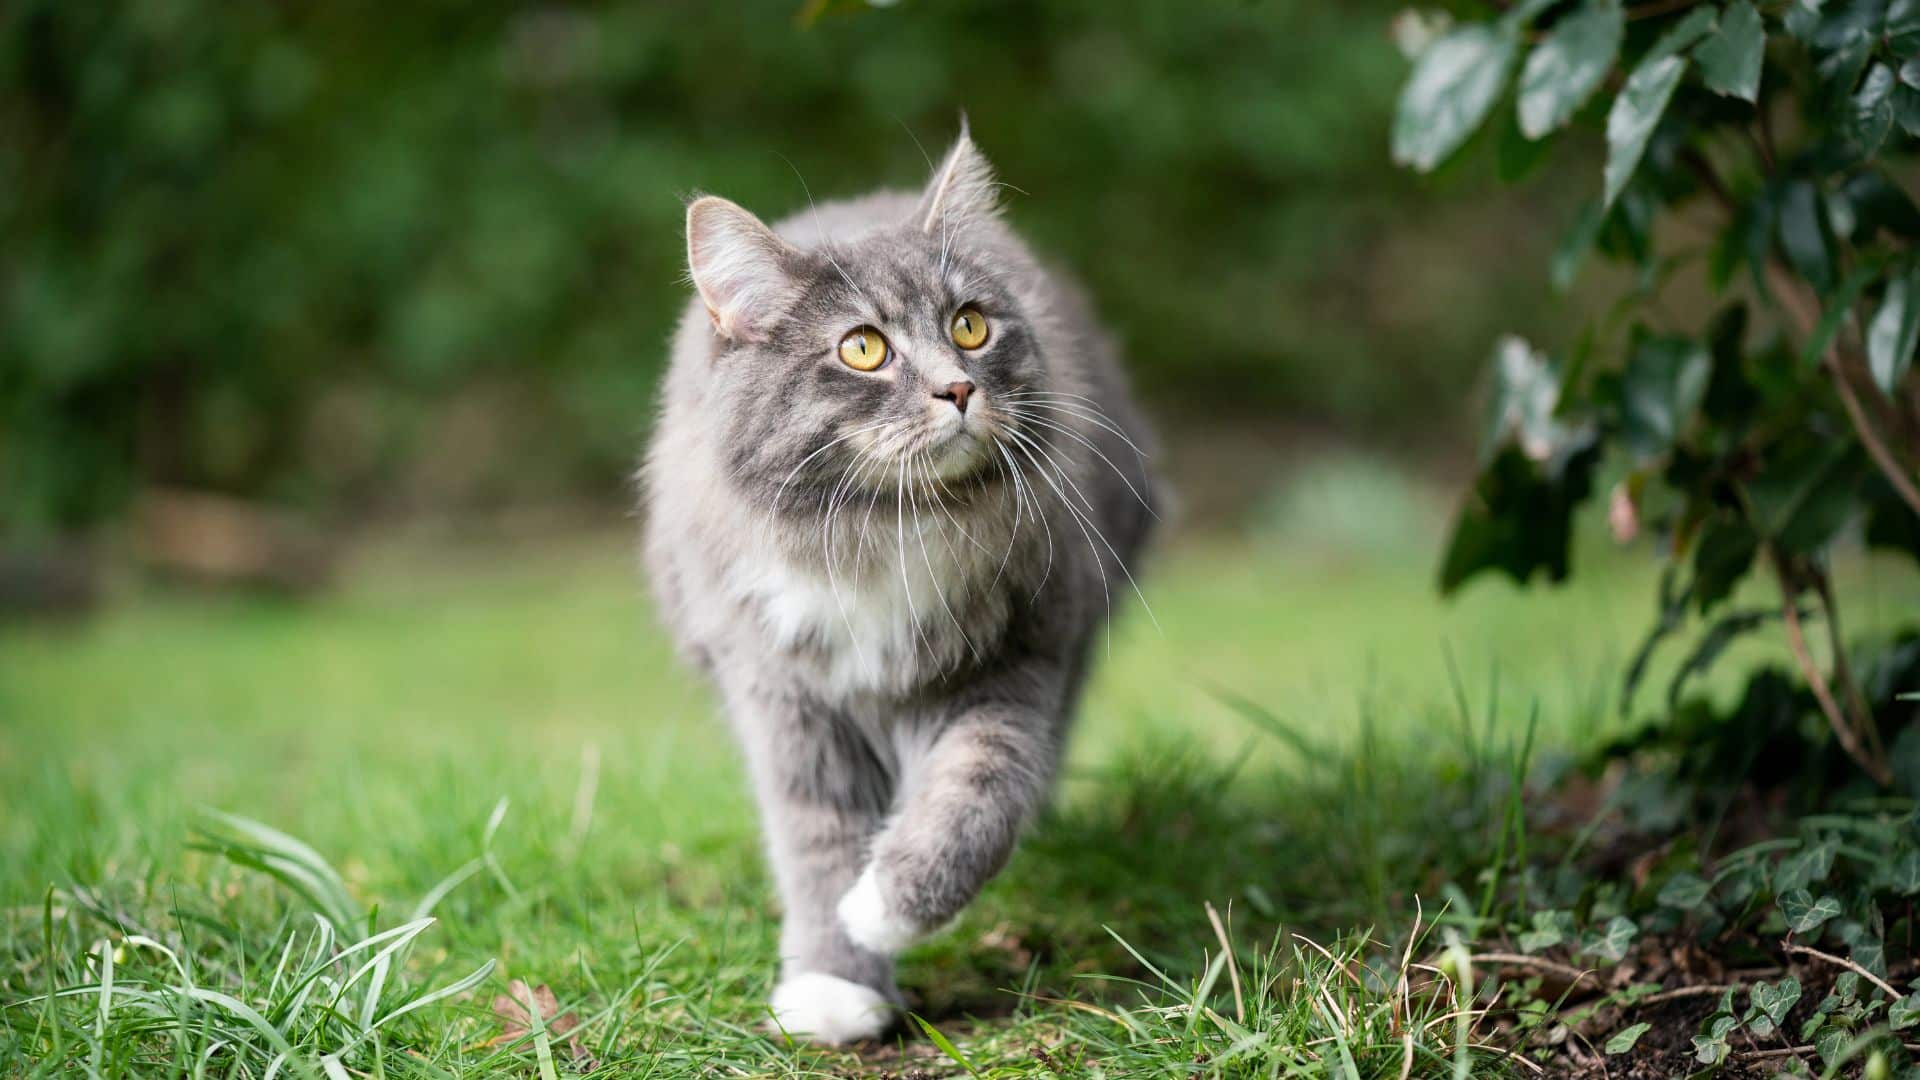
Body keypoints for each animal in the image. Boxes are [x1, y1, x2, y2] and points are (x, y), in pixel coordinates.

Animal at [641, 127, 1152, 1045]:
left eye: (970, 325)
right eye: (863, 348)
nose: (959, 387)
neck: (884, 533)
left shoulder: (1017, 656)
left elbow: (975, 798)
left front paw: (882, 904)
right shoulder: (783, 697)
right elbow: (816, 845)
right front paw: (835, 981)